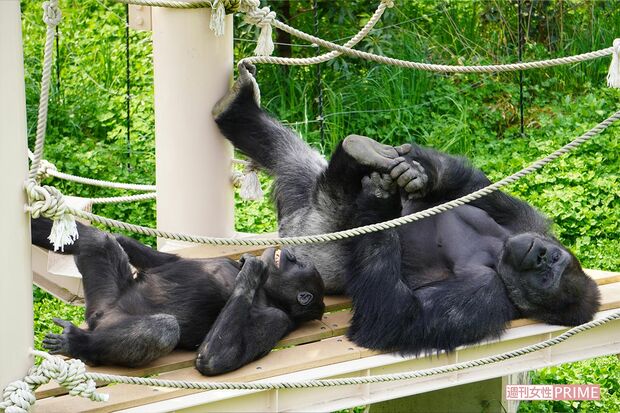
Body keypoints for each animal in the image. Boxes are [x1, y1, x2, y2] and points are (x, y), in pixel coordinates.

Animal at [31, 217, 324, 374]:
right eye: (297, 262)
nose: (291, 254)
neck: (268, 292)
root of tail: (97, 319)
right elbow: (166, 261)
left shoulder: (277, 319)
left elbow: (215, 359)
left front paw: (253, 269)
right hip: (104, 297)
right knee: (97, 241)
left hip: (107, 323)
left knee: (164, 329)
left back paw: (78, 344)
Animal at [212, 63, 600, 354]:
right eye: (552, 257)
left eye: (547, 277)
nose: (539, 256)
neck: (500, 250)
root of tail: (292, 224)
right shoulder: (527, 221)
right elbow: (473, 186)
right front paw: (418, 174)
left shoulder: (487, 297)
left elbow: (393, 317)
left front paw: (380, 201)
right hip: (302, 196)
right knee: (292, 156)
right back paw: (240, 107)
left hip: (310, 234)